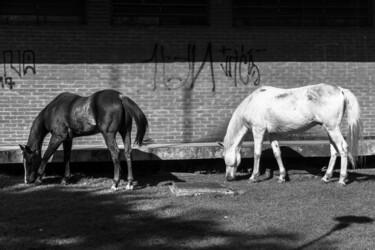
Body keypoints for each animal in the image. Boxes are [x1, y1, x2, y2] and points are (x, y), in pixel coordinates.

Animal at [19, 90, 148, 189]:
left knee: (115, 153)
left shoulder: (58, 136)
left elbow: (46, 155)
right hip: (126, 132)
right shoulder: (68, 139)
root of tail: (120, 97)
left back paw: (115, 183)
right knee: (128, 153)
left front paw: (39, 178)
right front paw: (65, 179)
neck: (53, 109)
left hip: (108, 134)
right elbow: (66, 157)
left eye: (30, 161)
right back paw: (129, 183)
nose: (27, 180)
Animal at [222, 84, 362, 186]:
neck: (253, 102)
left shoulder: (258, 131)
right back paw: (325, 177)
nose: (228, 178)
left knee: (343, 148)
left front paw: (253, 177)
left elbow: (257, 154)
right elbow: (277, 153)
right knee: (334, 151)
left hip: (333, 129)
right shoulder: (272, 134)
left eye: (224, 157)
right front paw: (282, 177)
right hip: (329, 129)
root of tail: (340, 90)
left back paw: (342, 180)